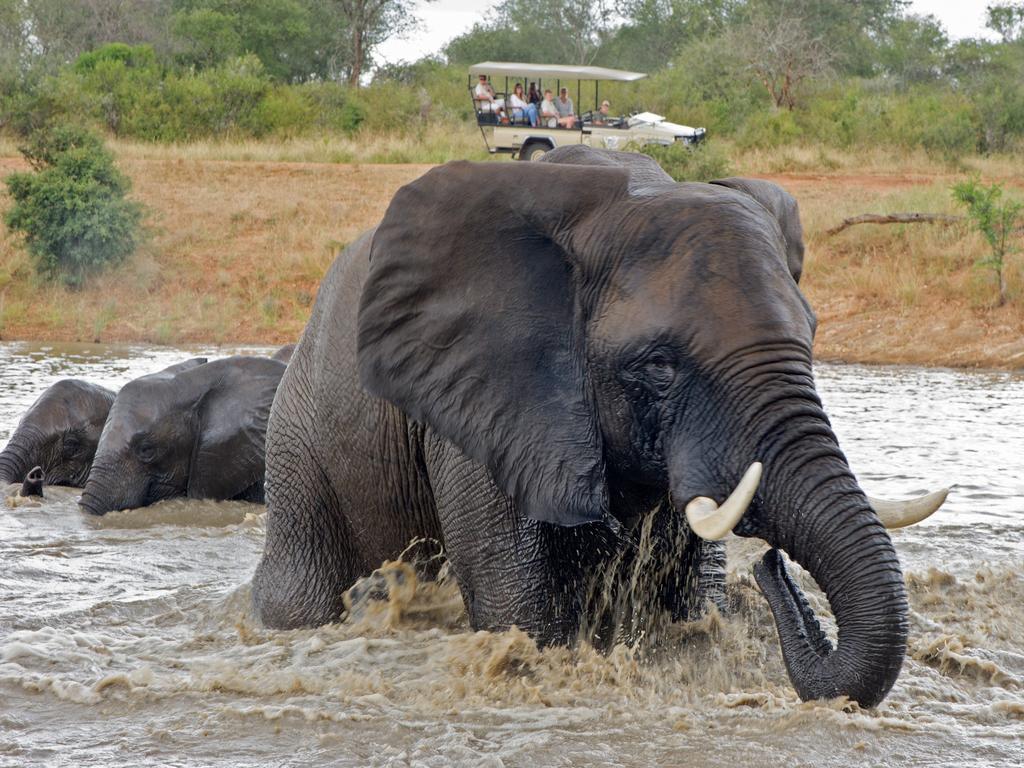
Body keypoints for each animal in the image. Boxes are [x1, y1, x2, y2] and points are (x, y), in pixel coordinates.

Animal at [251, 157, 946, 708]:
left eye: (812, 336)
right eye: (660, 366)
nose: (773, 566)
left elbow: (692, 602)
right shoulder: (483, 402)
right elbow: (522, 615)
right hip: (299, 453)